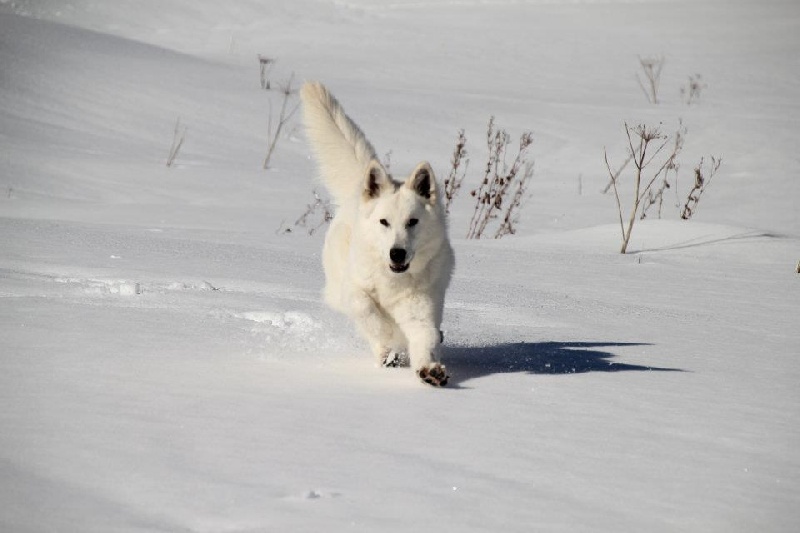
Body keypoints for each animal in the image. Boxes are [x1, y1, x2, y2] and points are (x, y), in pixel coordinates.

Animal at [300, 81, 454, 384]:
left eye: (412, 222)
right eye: (384, 222)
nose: (397, 254)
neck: (392, 280)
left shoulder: (421, 312)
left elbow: (425, 339)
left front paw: (429, 370)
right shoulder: (354, 291)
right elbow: (368, 312)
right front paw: (388, 337)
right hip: (336, 289)